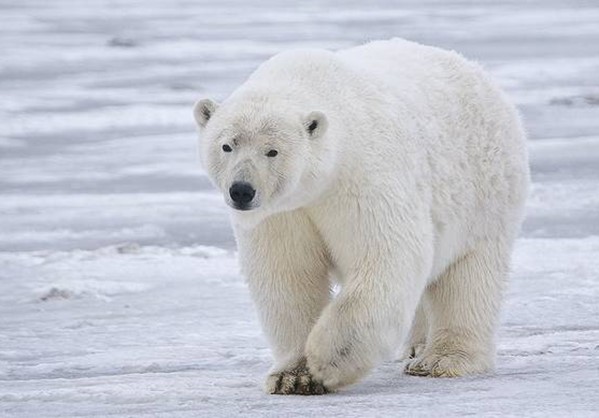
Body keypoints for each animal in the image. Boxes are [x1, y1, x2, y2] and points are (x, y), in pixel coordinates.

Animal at [193, 39, 528, 396]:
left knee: (468, 277)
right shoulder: (282, 213)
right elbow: (288, 275)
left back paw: (441, 359)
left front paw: (327, 361)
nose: (242, 191)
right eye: (227, 145)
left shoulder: (362, 177)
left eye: (272, 151)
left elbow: (385, 256)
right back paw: (416, 346)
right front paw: (292, 376)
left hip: (484, 192)